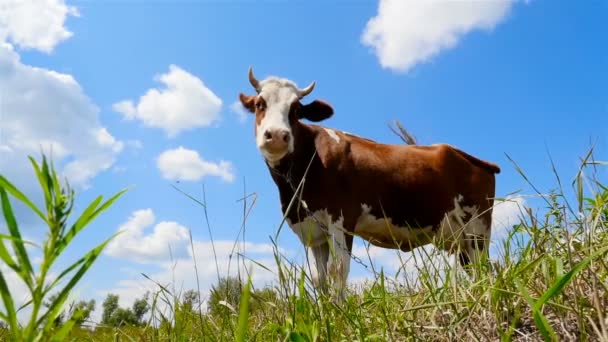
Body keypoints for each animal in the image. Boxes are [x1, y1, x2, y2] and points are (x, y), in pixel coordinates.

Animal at [240, 68, 502, 296]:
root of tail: (469, 157)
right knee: (474, 271)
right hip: (460, 240)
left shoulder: (342, 218)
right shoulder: (314, 231)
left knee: (484, 270)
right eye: (260, 104)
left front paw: (339, 314)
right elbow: (319, 279)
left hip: (477, 228)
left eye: (295, 110)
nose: (276, 135)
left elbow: (338, 271)